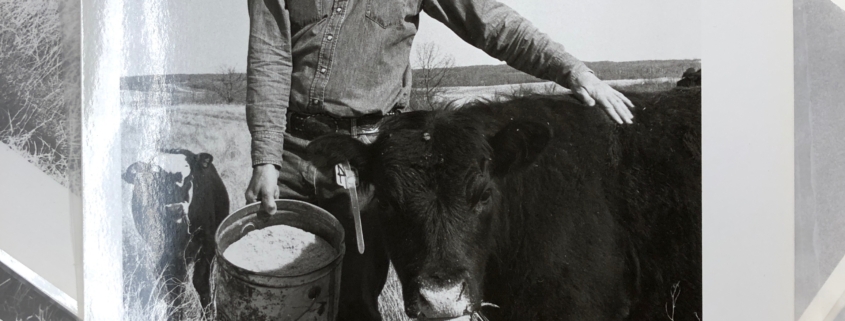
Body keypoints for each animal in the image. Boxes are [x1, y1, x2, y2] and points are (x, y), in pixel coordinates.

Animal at [121, 149, 227, 314]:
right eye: (155, 183)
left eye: (189, 178)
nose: (174, 209)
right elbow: (173, 281)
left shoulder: (208, 240)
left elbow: (201, 280)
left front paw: (208, 313)